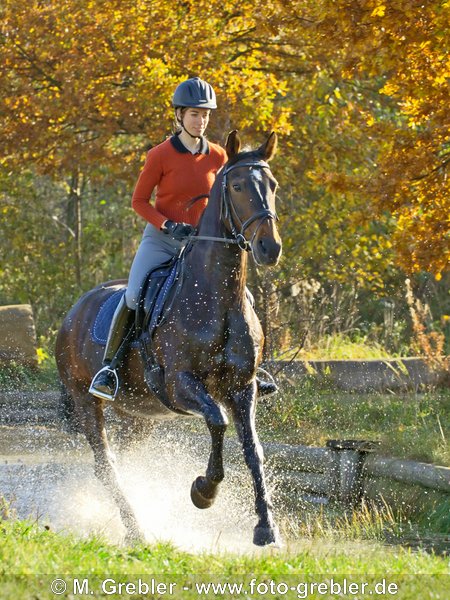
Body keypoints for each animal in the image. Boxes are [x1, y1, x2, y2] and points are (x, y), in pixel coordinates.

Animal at [55, 131, 282, 548]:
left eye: (272, 185)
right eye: (238, 186)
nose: (269, 248)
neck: (217, 298)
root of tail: (74, 311)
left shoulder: (242, 387)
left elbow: (253, 450)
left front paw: (265, 527)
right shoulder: (180, 384)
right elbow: (217, 421)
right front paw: (203, 491)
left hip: (138, 415)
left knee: (125, 459)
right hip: (85, 399)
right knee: (106, 463)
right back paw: (135, 530)